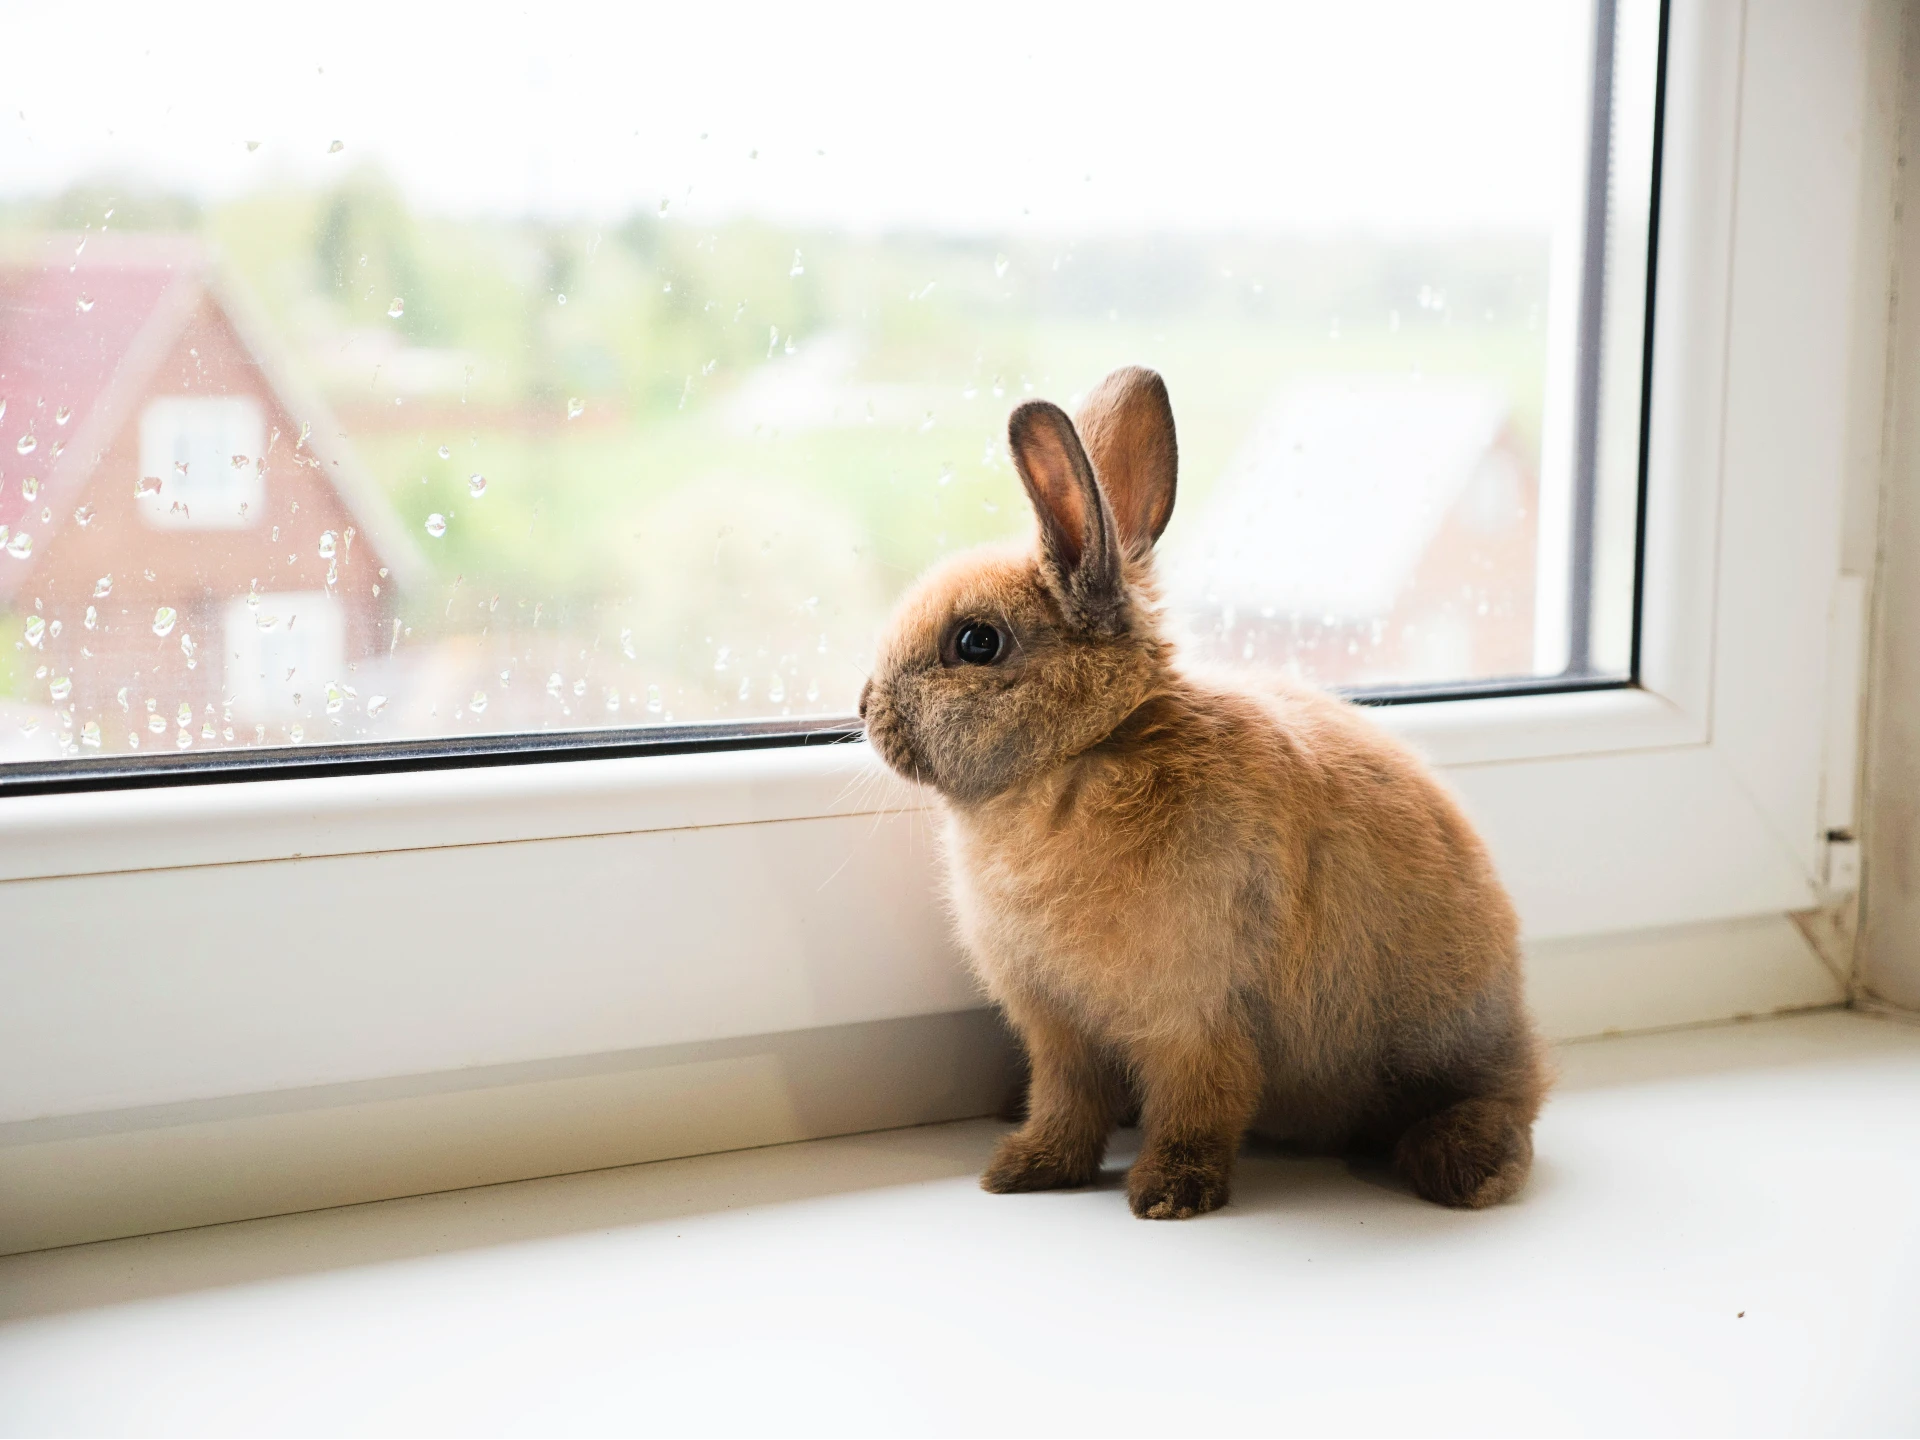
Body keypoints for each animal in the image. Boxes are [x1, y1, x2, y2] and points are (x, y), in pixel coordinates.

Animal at [864, 368, 1551, 1221]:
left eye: (977, 642)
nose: (865, 709)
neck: (1088, 751)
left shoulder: (1196, 1018)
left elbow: (1201, 1104)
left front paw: (1168, 1194)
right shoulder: (1059, 1031)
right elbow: (1066, 1104)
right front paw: (1025, 1170)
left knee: (1507, 1101)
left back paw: (1464, 1168)